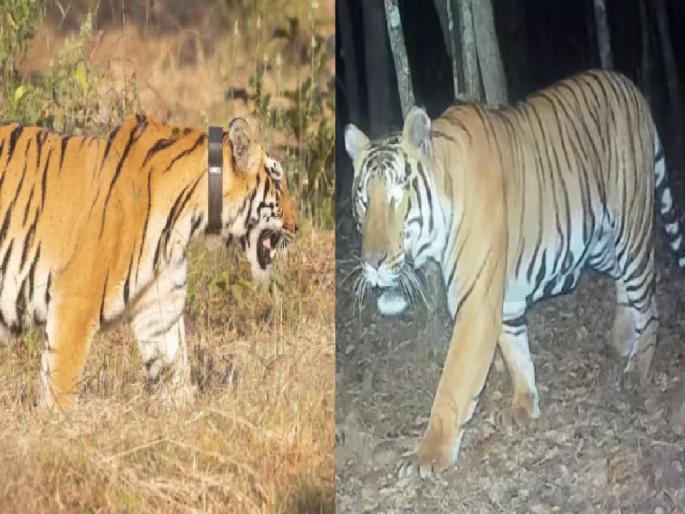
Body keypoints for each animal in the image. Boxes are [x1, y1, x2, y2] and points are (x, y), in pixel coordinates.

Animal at [0, 113, 298, 409]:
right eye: (278, 182)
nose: (297, 226)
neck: (188, 216)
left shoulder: (160, 306)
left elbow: (175, 368)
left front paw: (189, 413)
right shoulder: (75, 303)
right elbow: (61, 387)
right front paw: (57, 420)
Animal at [344, 70, 685, 477]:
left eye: (396, 198)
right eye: (364, 201)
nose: (373, 262)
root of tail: (631, 86)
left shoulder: (476, 303)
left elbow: (454, 381)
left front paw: (428, 455)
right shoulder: (502, 299)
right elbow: (515, 350)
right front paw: (525, 405)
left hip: (631, 224)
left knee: (648, 300)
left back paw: (637, 369)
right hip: (600, 239)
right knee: (624, 285)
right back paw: (620, 340)